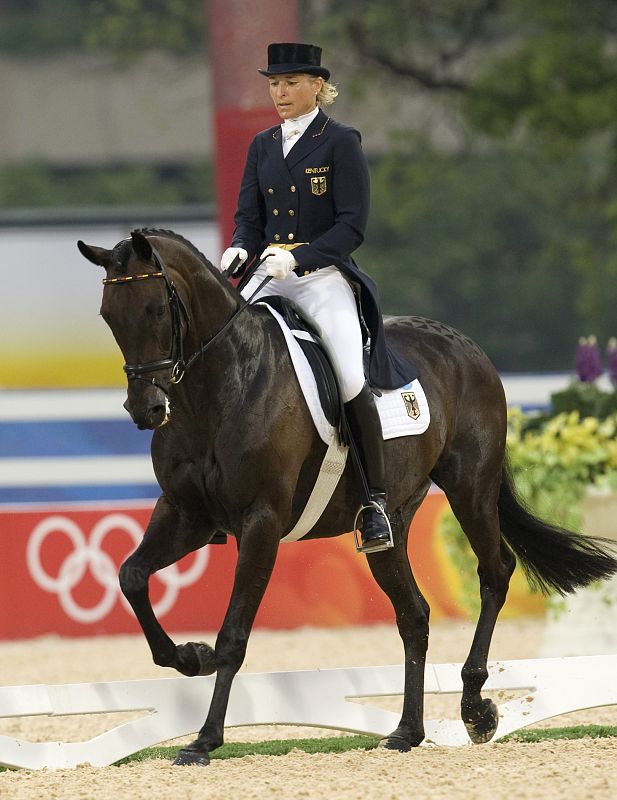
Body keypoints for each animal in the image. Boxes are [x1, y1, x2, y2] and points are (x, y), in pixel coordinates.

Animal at [79, 228, 616, 764]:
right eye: (107, 315)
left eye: (155, 309)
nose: (146, 409)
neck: (217, 388)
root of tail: (463, 344)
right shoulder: (186, 515)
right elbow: (131, 576)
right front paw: (191, 657)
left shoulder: (261, 522)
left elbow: (234, 632)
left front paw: (205, 739)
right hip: (392, 522)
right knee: (414, 614)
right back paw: (406, 731)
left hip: (470, 487)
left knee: (495, 571)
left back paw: (475, 708)